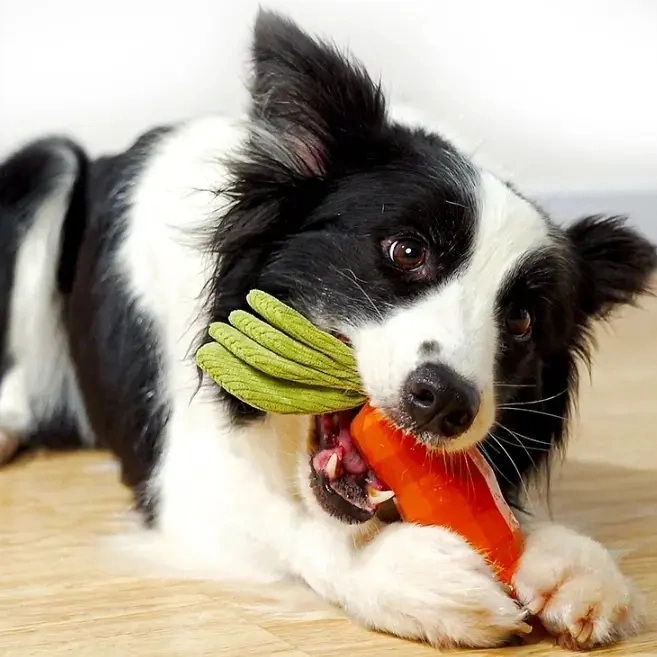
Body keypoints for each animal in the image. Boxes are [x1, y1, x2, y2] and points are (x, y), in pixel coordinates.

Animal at [1, 10, 656, 652]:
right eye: (407, 250)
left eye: (521, 321)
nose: (444, 402)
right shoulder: (177, 477)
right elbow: (289, 522)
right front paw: (410, 572)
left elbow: (495, 506)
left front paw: (570, 561)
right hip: (43, 166)